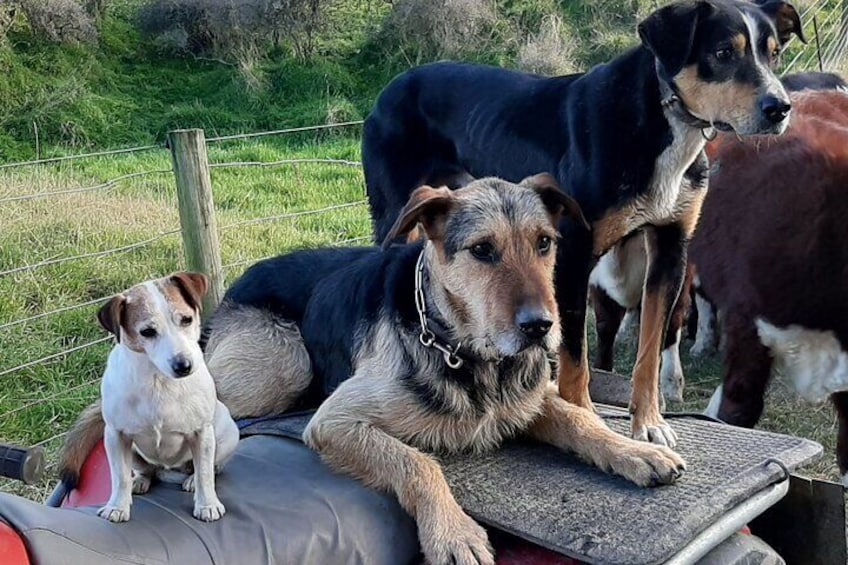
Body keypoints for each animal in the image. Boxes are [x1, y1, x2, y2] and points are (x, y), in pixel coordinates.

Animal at [202, 176, 684, 564]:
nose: (541, 327)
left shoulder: (532, 399)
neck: (472, 356)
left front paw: (635, 451)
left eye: (544, 243)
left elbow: (582, 420)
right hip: (286, 366)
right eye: (482, 250)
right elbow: (418, 464)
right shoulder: (335, 421)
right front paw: (453, 533)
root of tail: (240, 279)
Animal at [362, 1, 804, 450]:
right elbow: (576, 358)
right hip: (395, 216)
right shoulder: (573, 258)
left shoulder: (670, 252)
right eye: (723, 53)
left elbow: (649, 351)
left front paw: (649, 422)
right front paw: (585, 420)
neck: (658, 122)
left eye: (774, 54)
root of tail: (394, 84)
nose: (779, 108)